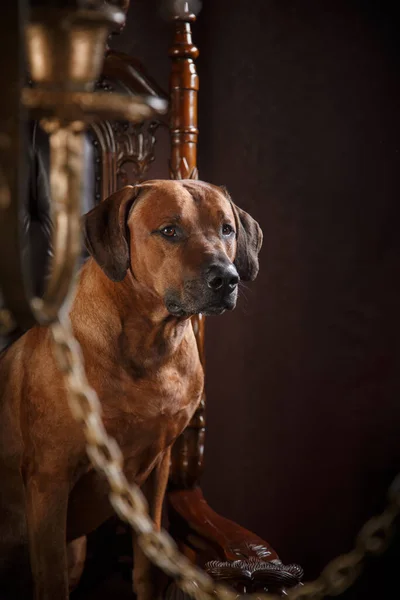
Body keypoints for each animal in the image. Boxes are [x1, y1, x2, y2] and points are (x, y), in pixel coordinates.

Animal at [0, 179, 262, 600]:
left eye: (227, 229)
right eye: (169, 230)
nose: (227, 278)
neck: (150, 343)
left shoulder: (157, 468)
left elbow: (148, 561)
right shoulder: (49, 477)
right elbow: (51, 577)